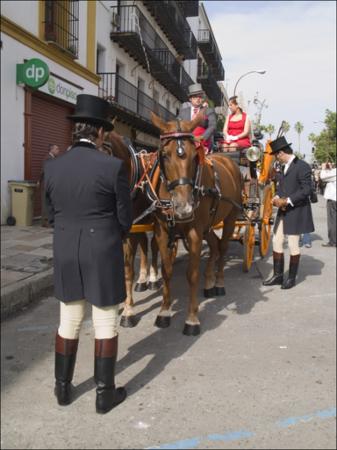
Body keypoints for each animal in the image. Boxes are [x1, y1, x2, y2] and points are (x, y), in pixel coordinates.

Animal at [101, 132, 160, 326]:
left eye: (105, 150)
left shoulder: (129, 233)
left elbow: (127, 271)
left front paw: (128, 311)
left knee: (154, 246)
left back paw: (153, 278)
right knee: (144, 245)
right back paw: (142, 280)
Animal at [150, 113, 242, 334]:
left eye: (194, 157)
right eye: (165, 155)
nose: (184, 207)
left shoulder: (194, 233)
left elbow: (191, 275)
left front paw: (192, 318)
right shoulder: (162, 232)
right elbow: (167, 271)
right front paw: (164, 311)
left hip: (231, 217)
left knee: (223, 247)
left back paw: (218, 283)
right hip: (207, 226)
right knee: (215, 245)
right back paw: (209, 283)